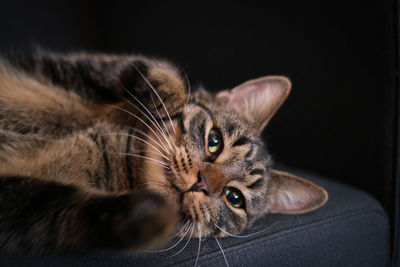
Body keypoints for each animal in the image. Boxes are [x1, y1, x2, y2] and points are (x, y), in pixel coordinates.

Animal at [0, 51, 328, 254]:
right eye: (214, 141)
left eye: (234, 198)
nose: (202, 182)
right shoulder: (82, 65)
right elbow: (161, 70)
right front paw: (167, 96)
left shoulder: (27, 207)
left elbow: (67, 212)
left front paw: (155, 217)